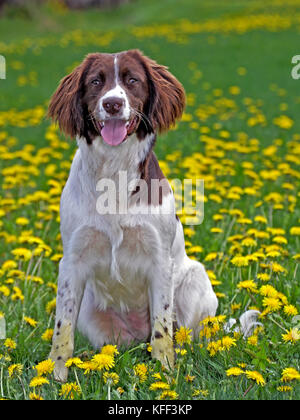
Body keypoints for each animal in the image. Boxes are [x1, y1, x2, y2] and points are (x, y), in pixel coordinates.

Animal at [48, 49, 219, 380]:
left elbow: (163, 328)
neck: (113, 171)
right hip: (91, 311)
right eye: (95, 81)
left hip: (195, 281)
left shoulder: (160, 260)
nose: (112, 104)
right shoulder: (72, 261)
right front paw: (55, 374)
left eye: (132, 81)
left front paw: (165, 372)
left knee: (183, 335)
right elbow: (63, 326)